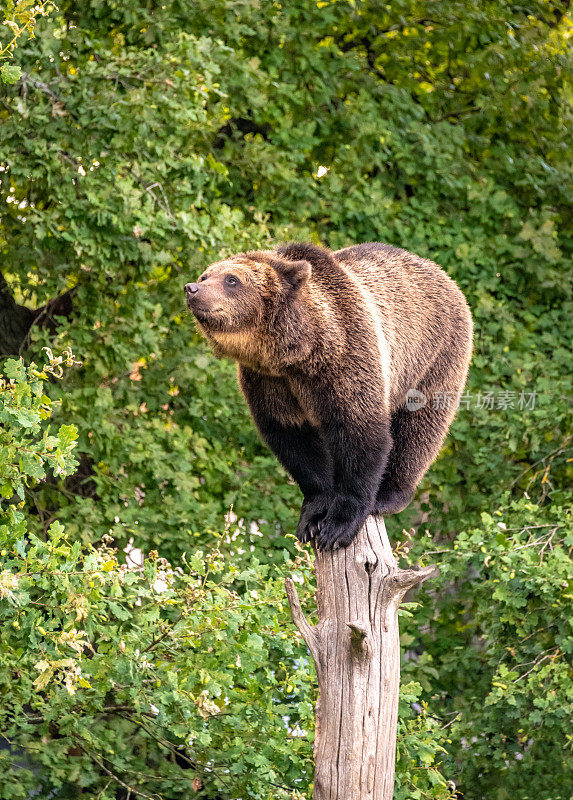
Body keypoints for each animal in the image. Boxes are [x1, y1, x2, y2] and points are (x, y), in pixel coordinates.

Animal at [185, 241, 472, 548]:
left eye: (232, 279)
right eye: (206, 275)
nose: (192, 288)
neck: (296, 353)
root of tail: (442, 273)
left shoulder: (345, 360)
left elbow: (360, 433)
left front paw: (338, 527)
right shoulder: (269, 383)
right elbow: (294, 441)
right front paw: (312, 518)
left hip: (434, 356)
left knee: (419, 427)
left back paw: (389, 495)